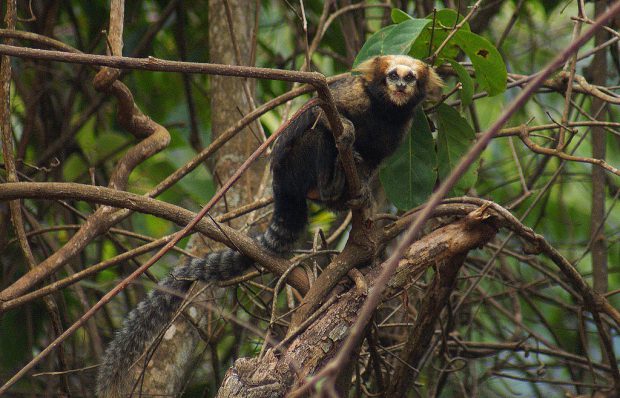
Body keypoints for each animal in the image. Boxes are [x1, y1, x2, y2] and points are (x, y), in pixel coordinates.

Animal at [97, 54, 444, 396]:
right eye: (392, 75)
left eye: (410, 78)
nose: (400, 85)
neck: (385, 110)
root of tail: (281, 185)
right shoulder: (353, 95)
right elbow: (321, 111)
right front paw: (343, 127)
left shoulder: (399, 132)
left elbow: (374, 159)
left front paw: (365, 188)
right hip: (294, 165)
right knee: (316, 135)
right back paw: (331, 182)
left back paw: (346, 192)